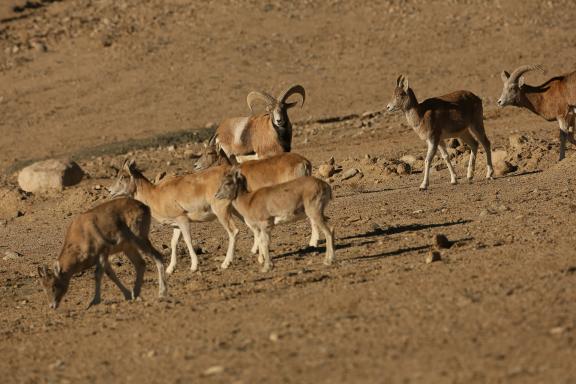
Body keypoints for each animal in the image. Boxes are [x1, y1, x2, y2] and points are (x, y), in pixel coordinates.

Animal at [36, 198, 166, 308]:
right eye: (43, 287)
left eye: (54, 285)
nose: (52, 306)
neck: (82, 232)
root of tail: (145, 207)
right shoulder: (104, 257)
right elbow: (110, 274)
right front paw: (128, 295)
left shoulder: (103, 251)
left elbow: (98, 274)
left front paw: (94, 301)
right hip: (128, 247)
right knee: (140, 264)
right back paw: (136, 294)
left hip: (140, 238)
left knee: (158, 256)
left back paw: (162, 293)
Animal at [107, 159, 237, 272]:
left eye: (123, 176)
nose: (109, 191)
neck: (155, 194)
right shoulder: (176, 225)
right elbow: (173, 243)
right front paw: (170, 269)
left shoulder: (182, 219)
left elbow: (188, 240)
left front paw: (194, 266)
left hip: (221, 211)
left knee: (233, 231)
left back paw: (226, 263)